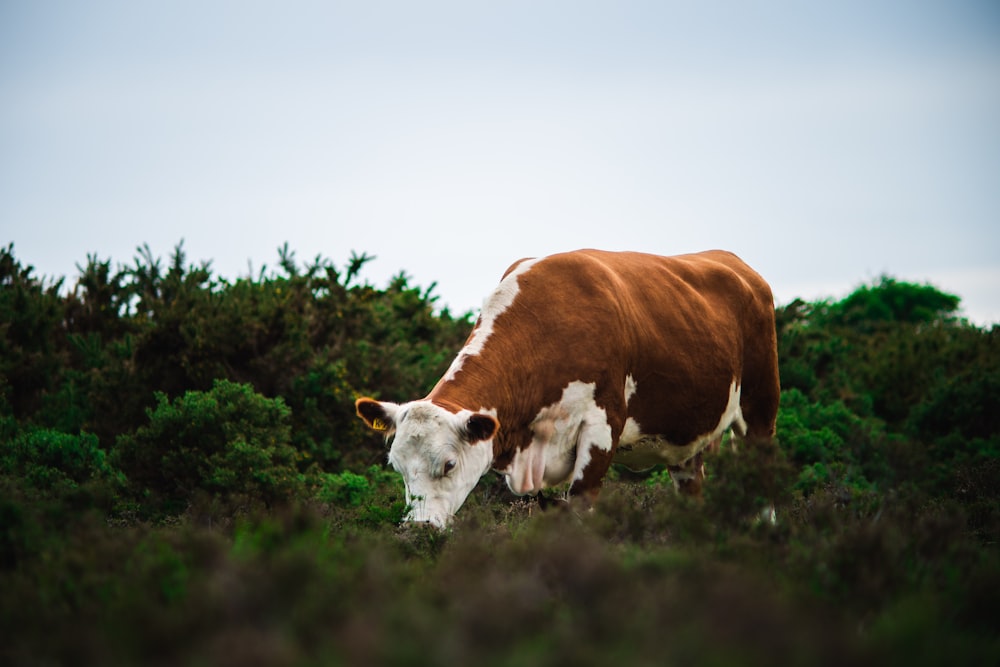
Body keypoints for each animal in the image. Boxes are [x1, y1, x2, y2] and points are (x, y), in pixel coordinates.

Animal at [354, 248, 780, 528]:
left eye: (449, 464)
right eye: (398, 467)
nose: (418, 529)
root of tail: (736, 264)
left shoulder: (602, 428)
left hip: (760, 411)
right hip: (685, 442)